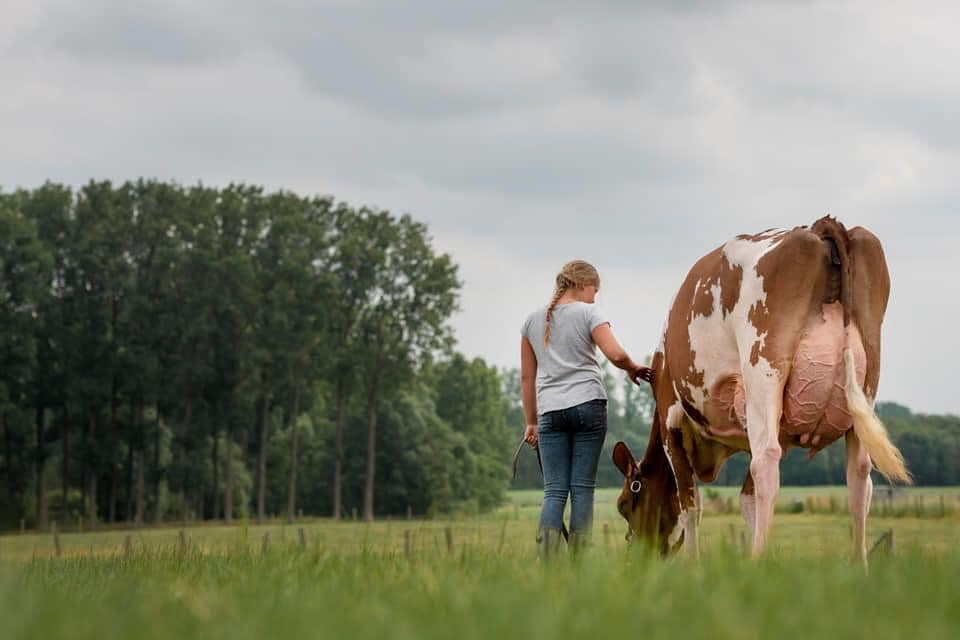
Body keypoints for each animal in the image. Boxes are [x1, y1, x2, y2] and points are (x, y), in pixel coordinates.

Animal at [616, 218, 908, 564]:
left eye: (624, 505)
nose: (638, 556)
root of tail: (819, 227)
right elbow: (747, 500)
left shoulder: (671, 420)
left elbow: (691, 505)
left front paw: (696, 565)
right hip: (867, 382)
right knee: (860, 474)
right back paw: (858, 565)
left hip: (763, 373)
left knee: (766, 462)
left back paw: (758, 558)